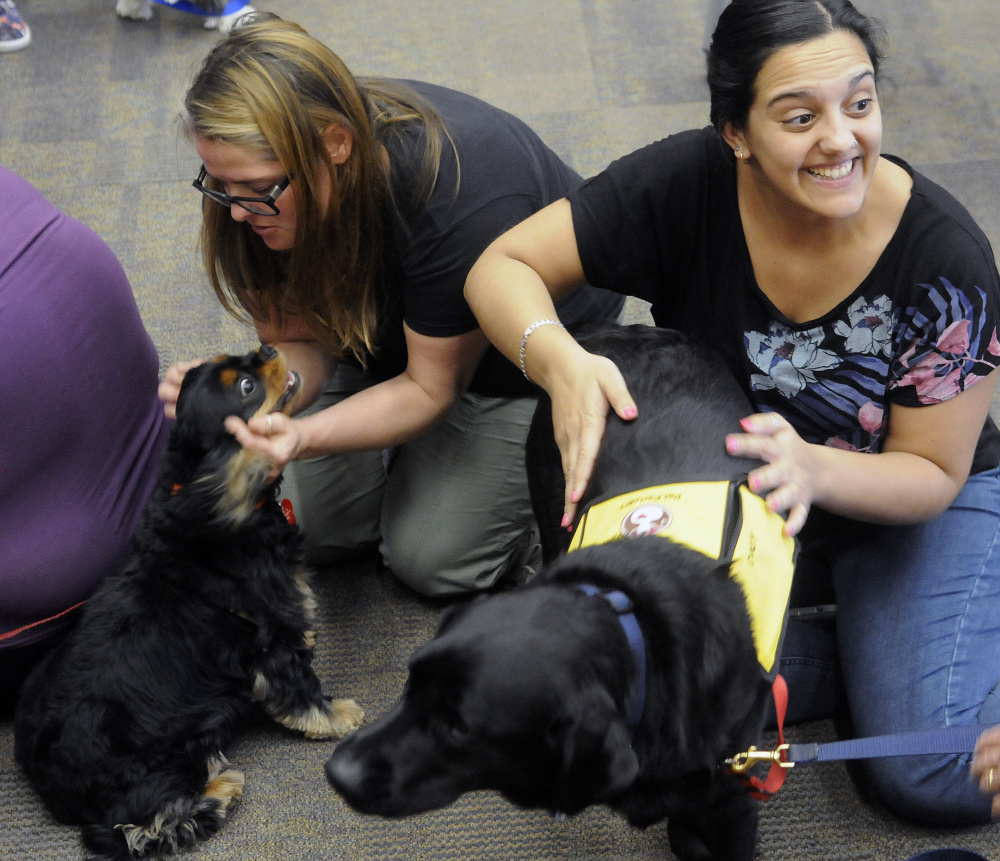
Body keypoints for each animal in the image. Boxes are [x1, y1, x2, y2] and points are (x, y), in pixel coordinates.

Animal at [14, 344, 364, 860]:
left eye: (241, 360)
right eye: (246, 387)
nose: (269, 348)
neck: (204, 494)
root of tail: (49, 784)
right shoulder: (270, 638)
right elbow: (301, 691)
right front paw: (339, 716)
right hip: (163, 760)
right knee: (141, 827)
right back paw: (218, 791)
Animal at [328, 324, 796, 860]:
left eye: (459, 726)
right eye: (410, 683)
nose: (336, 773)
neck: (639, 635)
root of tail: (621, 329)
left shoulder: (732, 798)